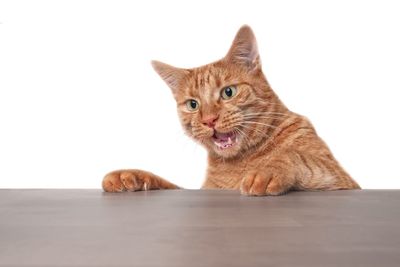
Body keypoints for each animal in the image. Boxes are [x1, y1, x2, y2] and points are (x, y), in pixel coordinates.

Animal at [101, 25, 360, 197]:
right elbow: (166, 182)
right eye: (193, 104)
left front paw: (268, 169)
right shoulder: (203, 189)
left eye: (228, 92)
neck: (242, 159)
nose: (209, 120)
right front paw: (131, 175)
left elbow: (298, 157)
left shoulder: (342, 180)